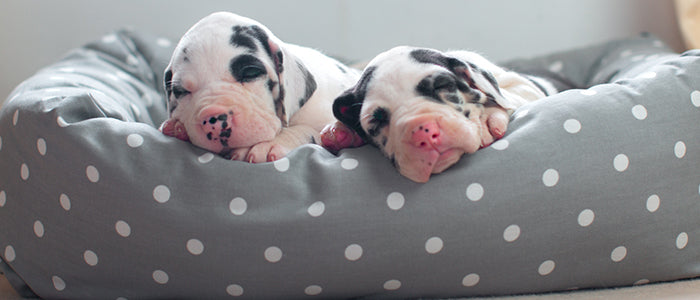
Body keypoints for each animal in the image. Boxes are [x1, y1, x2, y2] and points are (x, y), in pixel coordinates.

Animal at [159, 11, 356, 163]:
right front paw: (177, 128)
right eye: (181, 91)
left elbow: (308, 130)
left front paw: (272, 144)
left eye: (250, 73)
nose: (213, 119)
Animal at [322, 47, 556, 183]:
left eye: (442, 85)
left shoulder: (523, 86)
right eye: (376, 119)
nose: (423, 133)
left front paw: (487, 119)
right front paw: (341, 132)